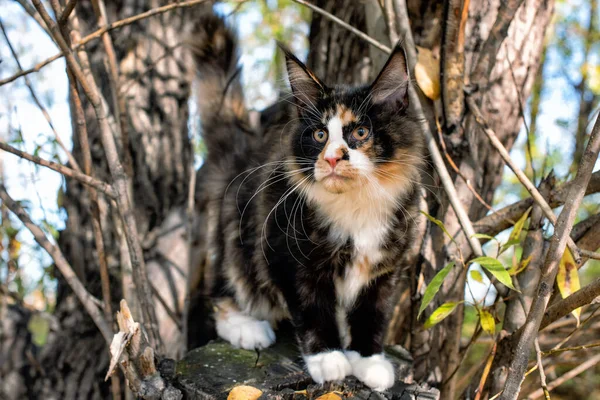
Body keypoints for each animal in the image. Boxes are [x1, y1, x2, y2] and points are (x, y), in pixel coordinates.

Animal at [191, 13, 422, 390]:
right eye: (319, 135)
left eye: (360, 133)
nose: (331, 158)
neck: (356, 205)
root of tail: (244, 149)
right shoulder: (286, 254)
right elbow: (312, 308)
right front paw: (328, 358)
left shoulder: (385, 268)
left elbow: (372, 313)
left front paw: (368, 360)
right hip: (236, 232)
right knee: (223, 287)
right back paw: (246, 326)